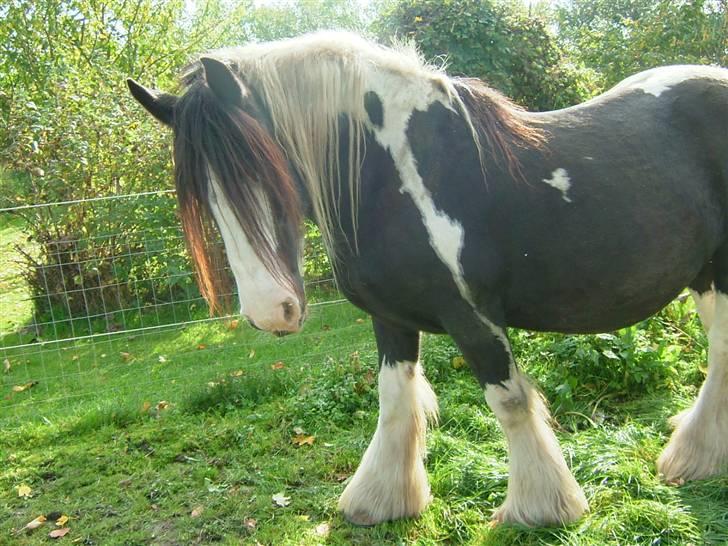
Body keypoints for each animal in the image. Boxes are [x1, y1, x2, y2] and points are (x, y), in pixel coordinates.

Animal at [126, 31, 728, 524]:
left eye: (268, 168)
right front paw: (380, 500)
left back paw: (692, 456)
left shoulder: (472, 315)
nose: (270, 312)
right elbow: (395, 400)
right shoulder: (389, 317)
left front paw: (541, 508)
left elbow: (509, 401)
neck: (390, 176)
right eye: (203, 195)